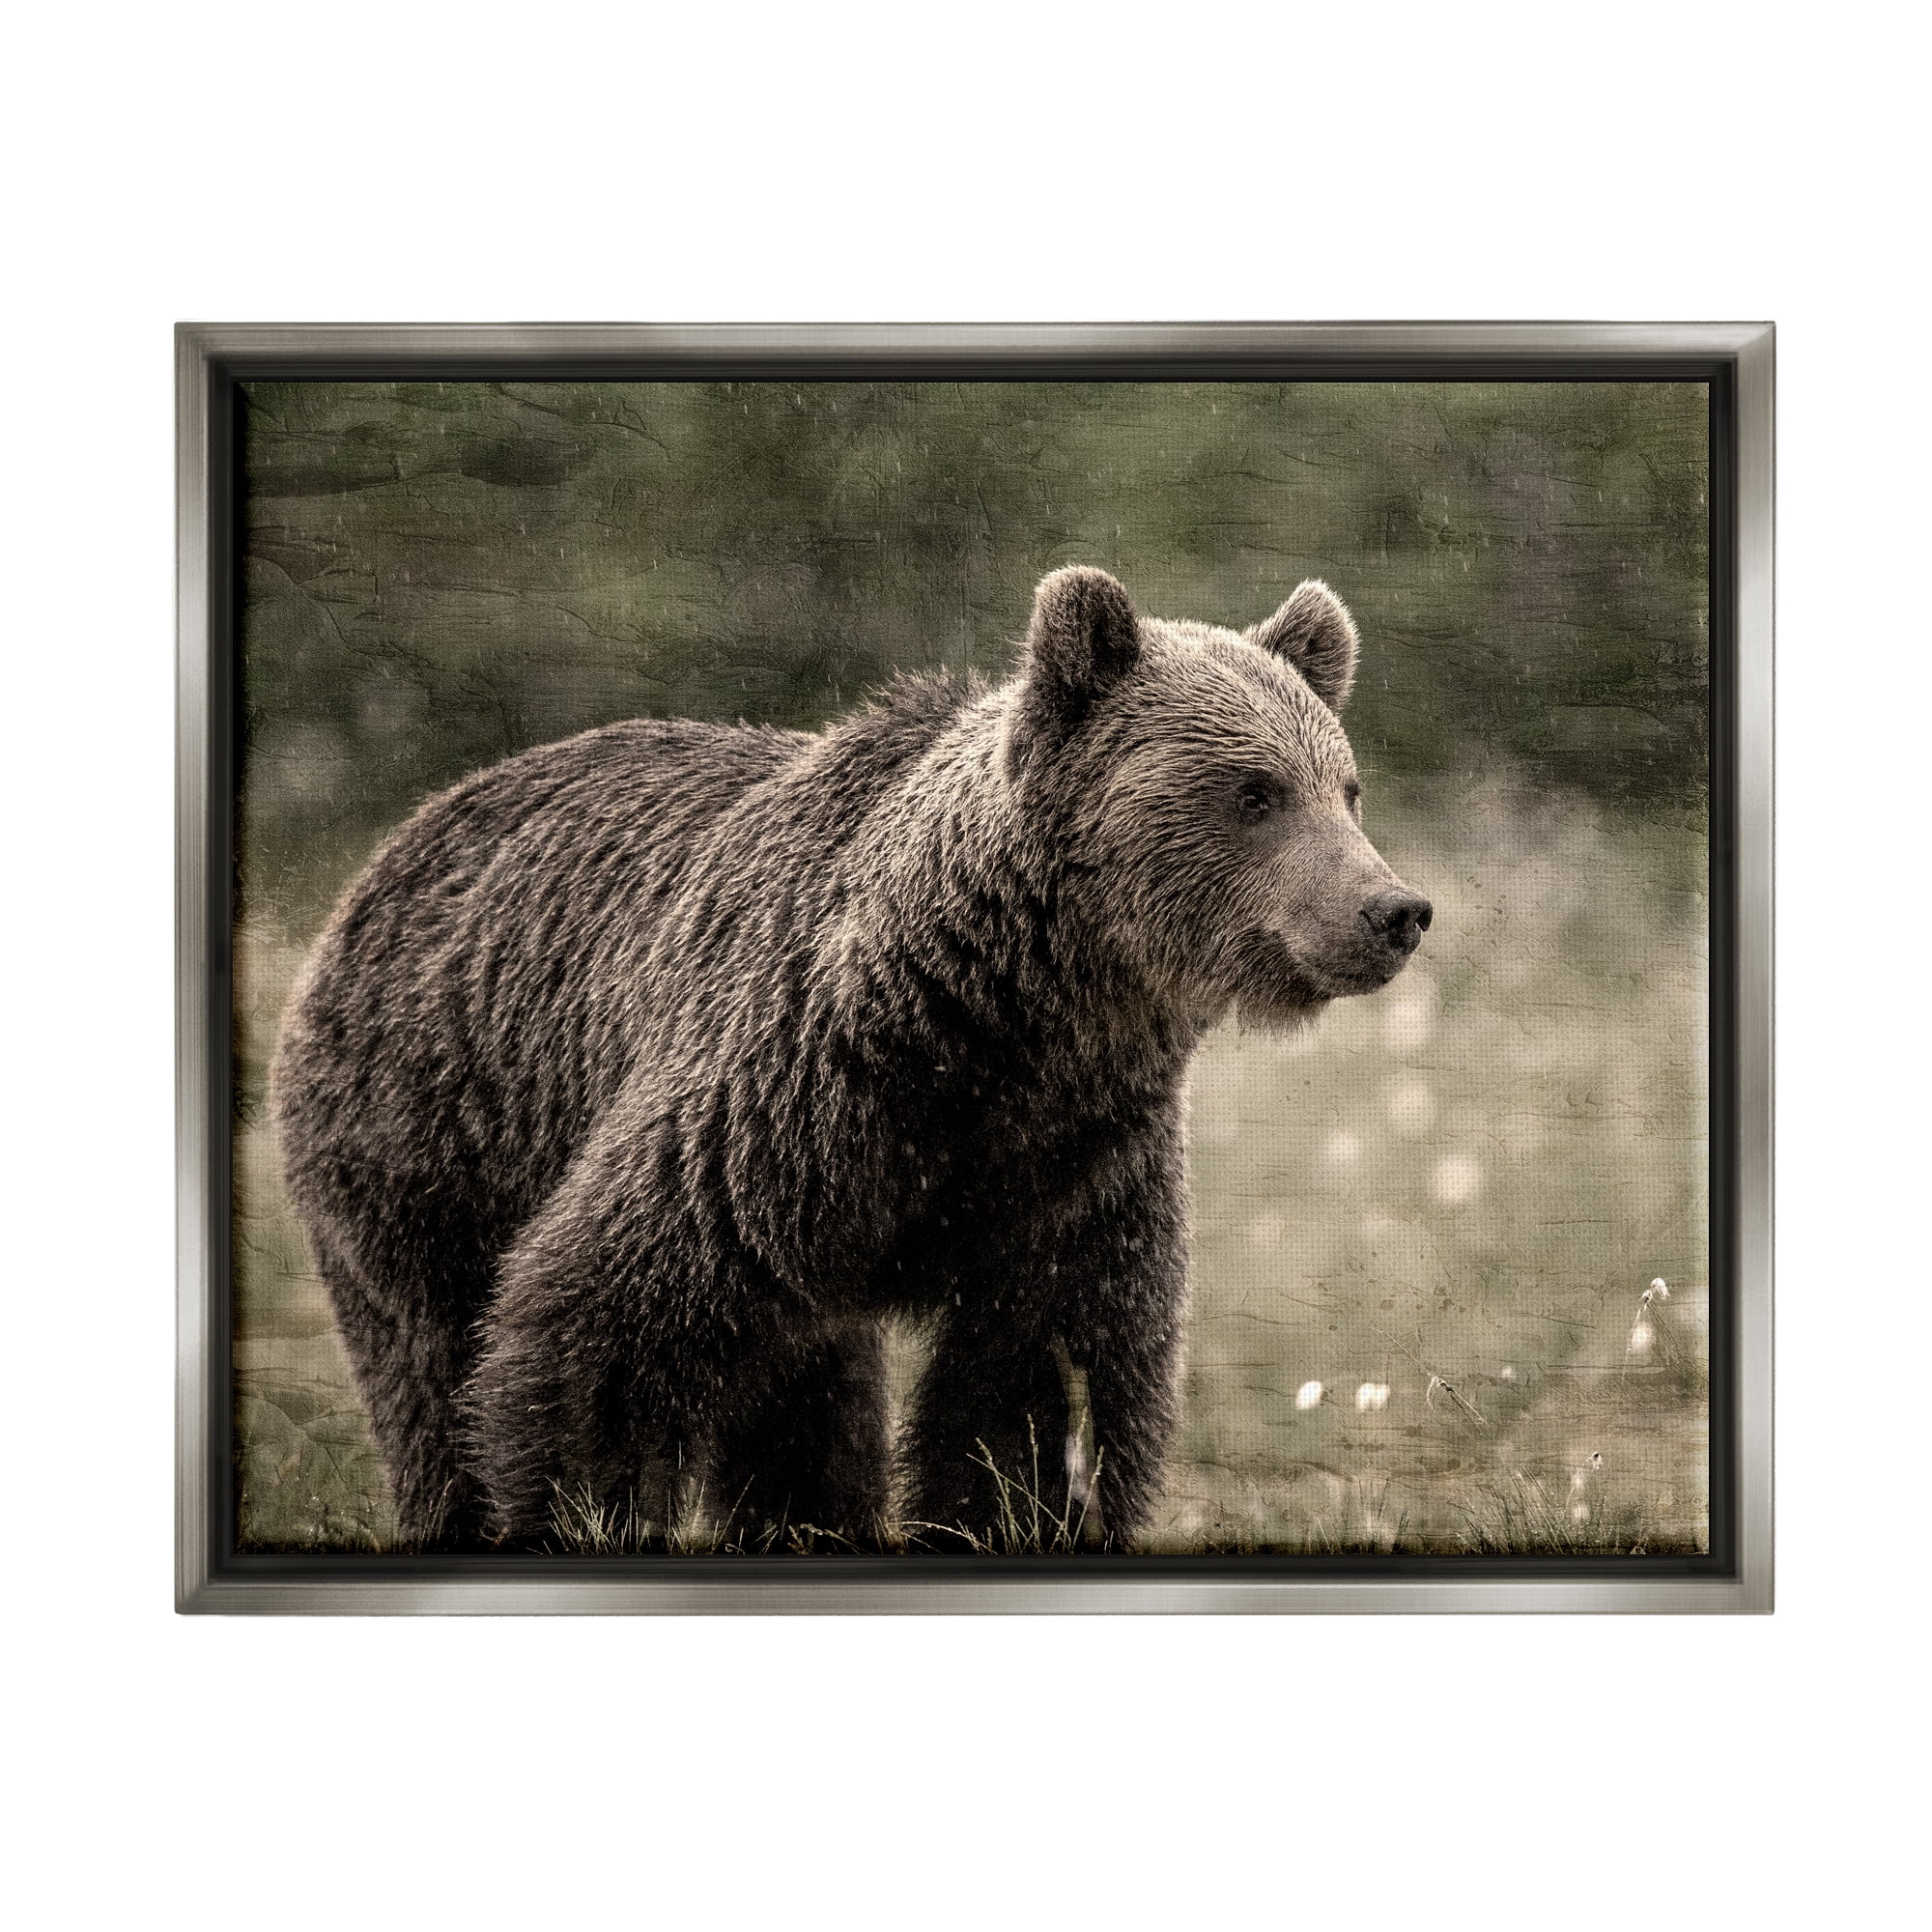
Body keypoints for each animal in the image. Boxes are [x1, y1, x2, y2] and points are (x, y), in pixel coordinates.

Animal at [272, 567, 1431, 1551]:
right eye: (1253, 791)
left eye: (1346, 785)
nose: (1393, 910)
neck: (1007, 1019)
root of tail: (394, 846)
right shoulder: (789, 1100)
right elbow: (599, 1328)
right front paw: (582, 1510)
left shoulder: (1076, 1160)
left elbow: (1038, 1383)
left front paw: (1013, 1512)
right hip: (430, 1132)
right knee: (432, 1360)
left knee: (805, 1395)